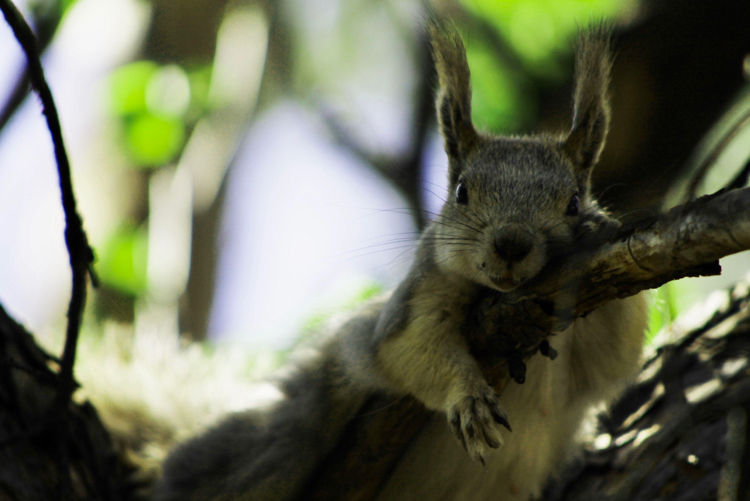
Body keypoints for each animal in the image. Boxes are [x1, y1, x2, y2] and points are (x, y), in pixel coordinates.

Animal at [150, 20, 648, 500]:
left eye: (573, 202)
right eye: (461, 192)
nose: (511, 243)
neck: (497, 296)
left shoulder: (592, 353)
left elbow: (621, 348)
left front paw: (595, 229)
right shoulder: (414, 301)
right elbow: (414, 348)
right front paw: (468, 398)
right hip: (274, 445)